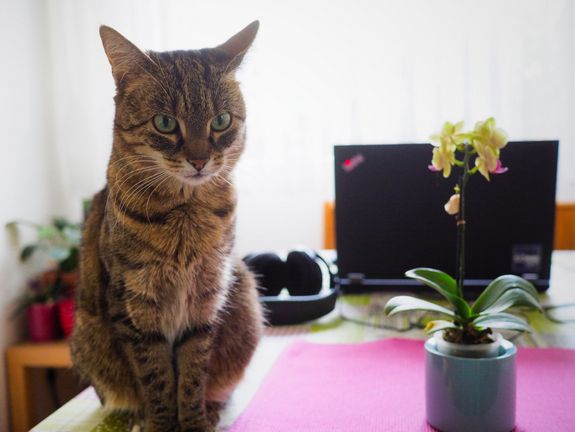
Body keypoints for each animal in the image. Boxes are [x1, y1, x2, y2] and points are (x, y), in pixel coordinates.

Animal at [70, 22, 266, 432]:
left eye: (221, 121)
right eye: (165, 123)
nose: (200, 160)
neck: (185, 216)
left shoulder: (206, 299)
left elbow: (192, 374)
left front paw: (193, 421)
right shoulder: (133, 305)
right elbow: (156, 379)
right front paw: (160, 423)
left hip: (243, 294)